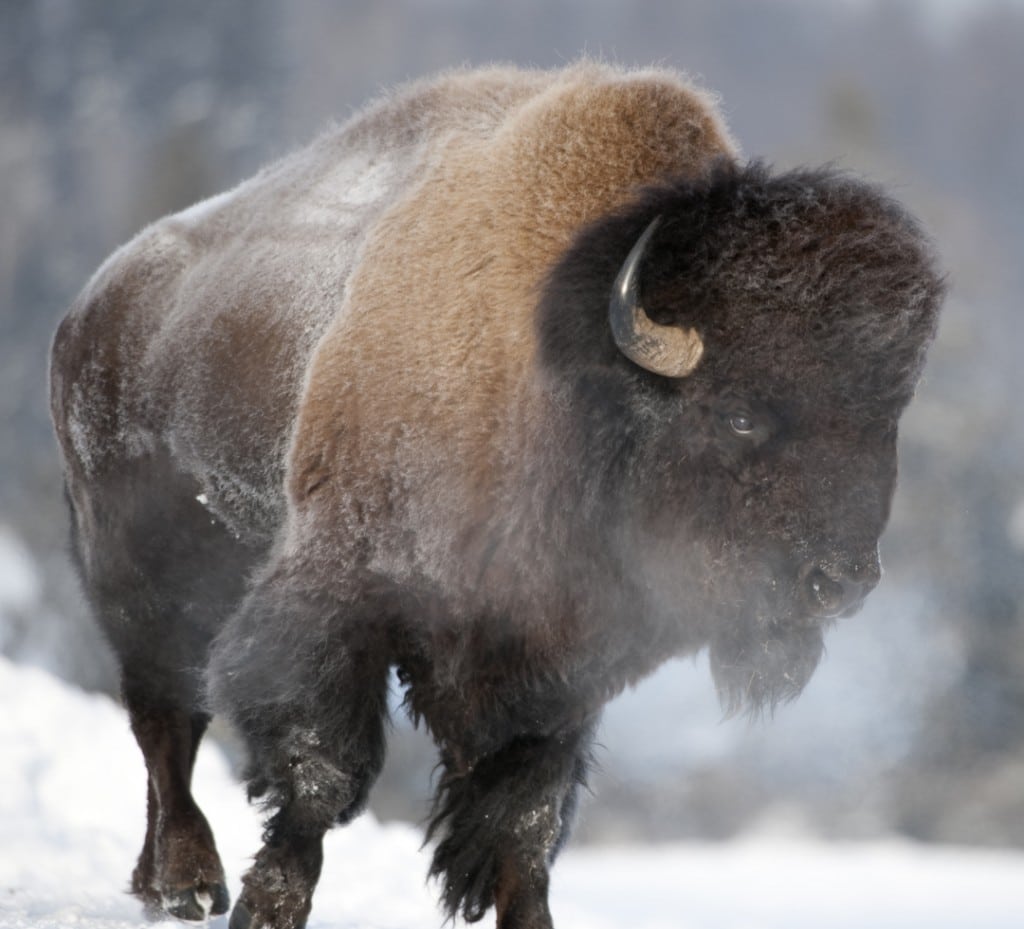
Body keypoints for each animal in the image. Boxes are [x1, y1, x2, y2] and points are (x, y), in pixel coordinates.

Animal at [49, 63, 942, 929]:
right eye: (741, 413)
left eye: (884, 421)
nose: (841, 583)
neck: (562, 376)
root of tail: (90, 307)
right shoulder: (340, 599)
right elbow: (321, 773)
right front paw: (268, 908)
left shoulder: (556, 671)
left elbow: (525, 820)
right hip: (142, 581)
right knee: (168, 723)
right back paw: (189, 884)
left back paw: (157, 882)